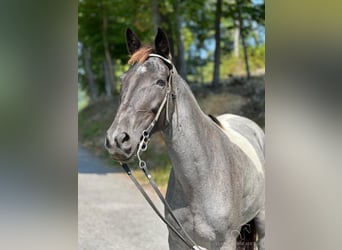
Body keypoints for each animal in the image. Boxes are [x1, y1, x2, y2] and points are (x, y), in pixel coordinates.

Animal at [105, 27, 266, 250]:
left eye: (160, 82)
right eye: (123, 81)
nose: (117, 140)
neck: (201, 180)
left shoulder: (226, 242)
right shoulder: (178, 241)